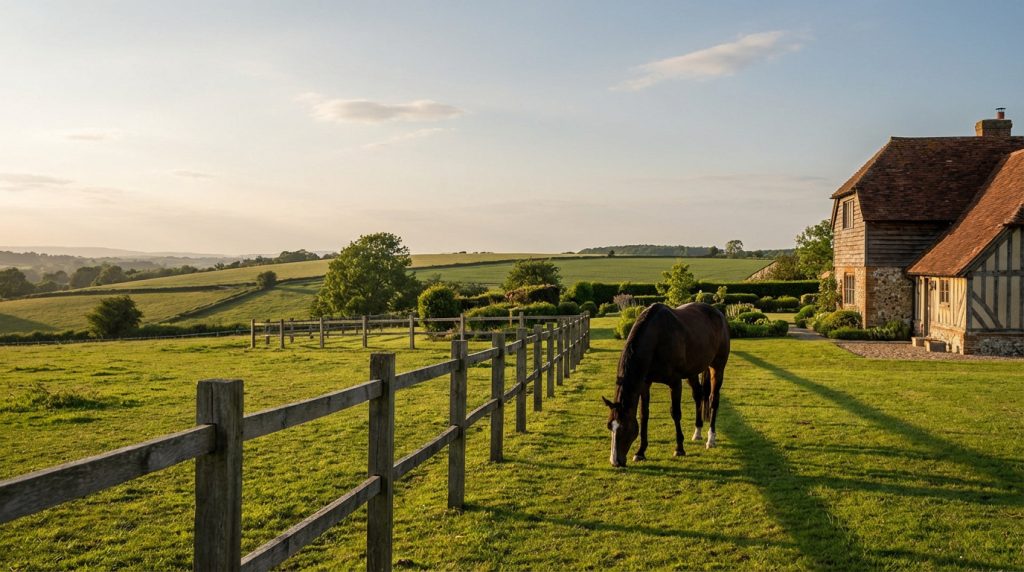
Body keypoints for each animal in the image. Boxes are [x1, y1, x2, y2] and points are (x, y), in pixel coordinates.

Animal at [603, 302, 730, 467]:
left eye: (624, 427)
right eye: (609, 426)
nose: (615, 461)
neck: (657, 337)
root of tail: (718, 313)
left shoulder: (675, 382)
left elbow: (675, 413)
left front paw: (679, 449)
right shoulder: (645, 383)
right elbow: (644, 414)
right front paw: (640, 452)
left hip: (717, 367)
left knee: (713, 400)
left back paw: (711, 439)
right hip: (692, 372)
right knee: (698, 395)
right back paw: (697, 433)